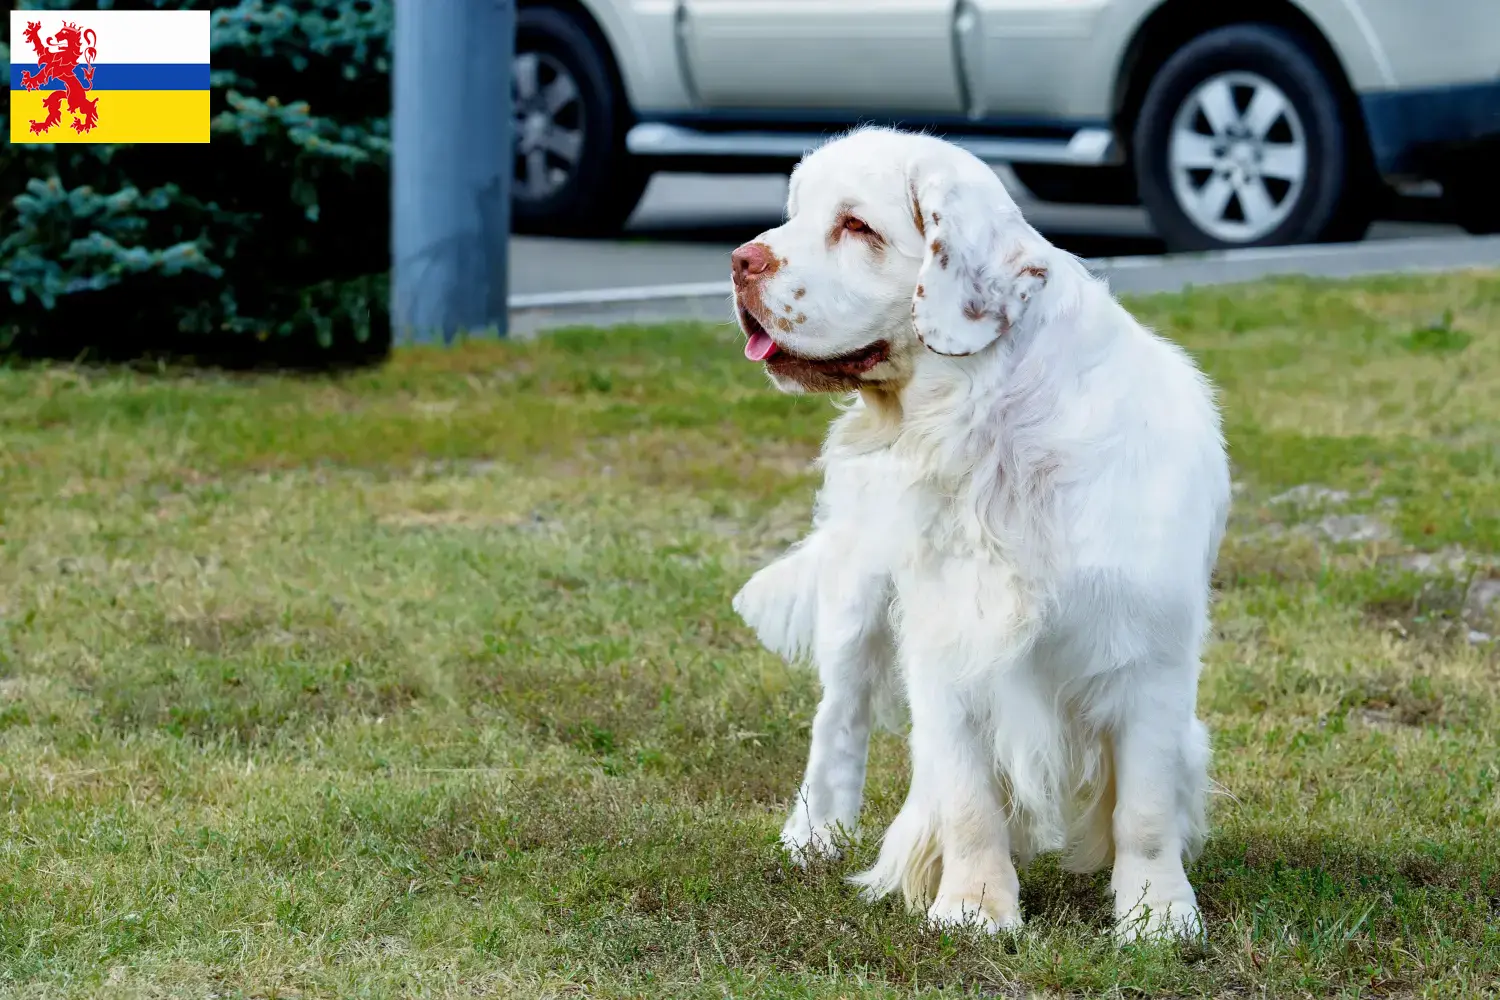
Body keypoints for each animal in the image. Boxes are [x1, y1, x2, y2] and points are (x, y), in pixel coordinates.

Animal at [729, 128, 1230, 941]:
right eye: (795, 213)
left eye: (856, 226)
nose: (741, 260)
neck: (993, 434)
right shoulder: (949, 640)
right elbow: (967, 799)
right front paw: (973, 907)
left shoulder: (1149, 652)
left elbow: (1147, 807)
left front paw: (1156, 916)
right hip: (859, 598)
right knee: (839, 718)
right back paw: (813, 837)